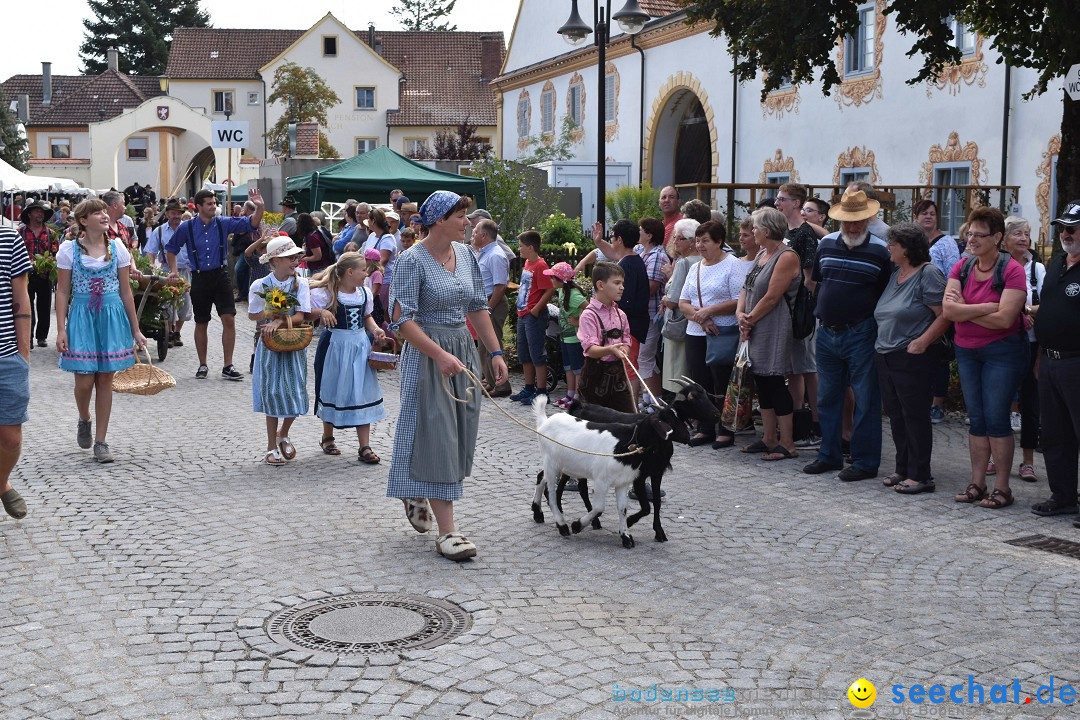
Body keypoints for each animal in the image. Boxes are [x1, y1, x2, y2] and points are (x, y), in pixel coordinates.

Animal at [533, 395, 673, 546]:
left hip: (560, 465)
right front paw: (577, 525)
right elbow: (599, 508)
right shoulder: (601, 480)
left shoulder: (623, 482)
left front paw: (626, 537)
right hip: (551, 463)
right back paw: (562, 525)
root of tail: (545, 422)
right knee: (551, 493)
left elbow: (622, 508)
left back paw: (537, 512)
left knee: (541, 477)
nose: (666, 457)